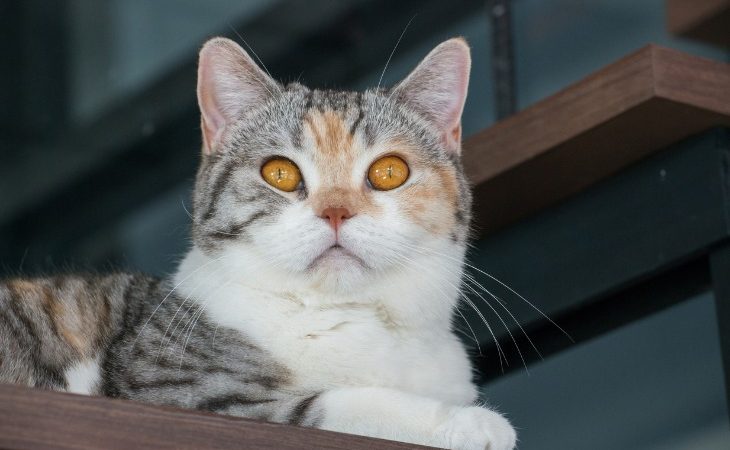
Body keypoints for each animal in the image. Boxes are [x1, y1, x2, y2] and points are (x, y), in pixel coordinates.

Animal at [1, 36, 516, 450]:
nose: (336, 211)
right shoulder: (179, 394)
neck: (346, 320)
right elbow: (339, 405)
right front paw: (472, 424)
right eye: (280, 173)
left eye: (390, 171)